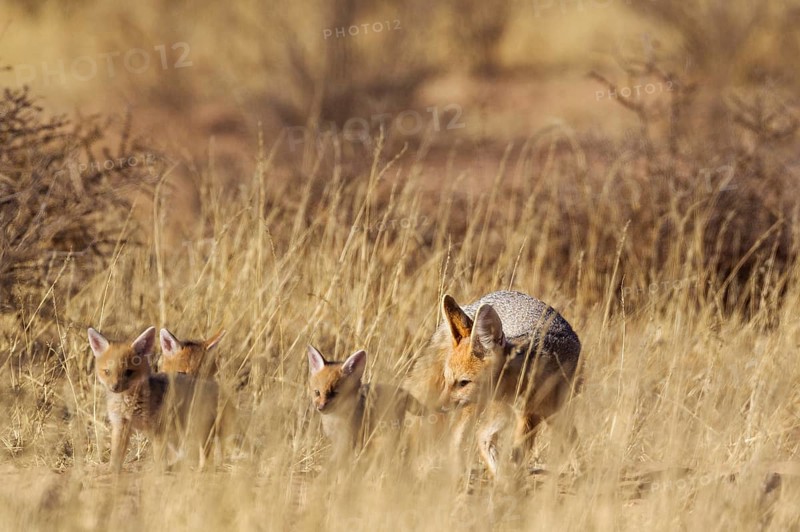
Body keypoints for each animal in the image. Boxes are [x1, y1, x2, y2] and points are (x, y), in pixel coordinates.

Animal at [89, 326, 224, 472]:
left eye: (128, 372)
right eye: (107, 372)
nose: (114, 387)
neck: (129, 404)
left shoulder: (159, 427)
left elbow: (161, 457)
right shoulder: (121, 424)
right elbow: (116, 456)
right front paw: (113, 471)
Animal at [406, 290, 582, 477]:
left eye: (463, 382)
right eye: (448, 381)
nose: (437, 407)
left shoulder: (544, 412)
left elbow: (570, 440)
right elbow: (492, 443)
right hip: (479, 408)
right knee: (460, 436)